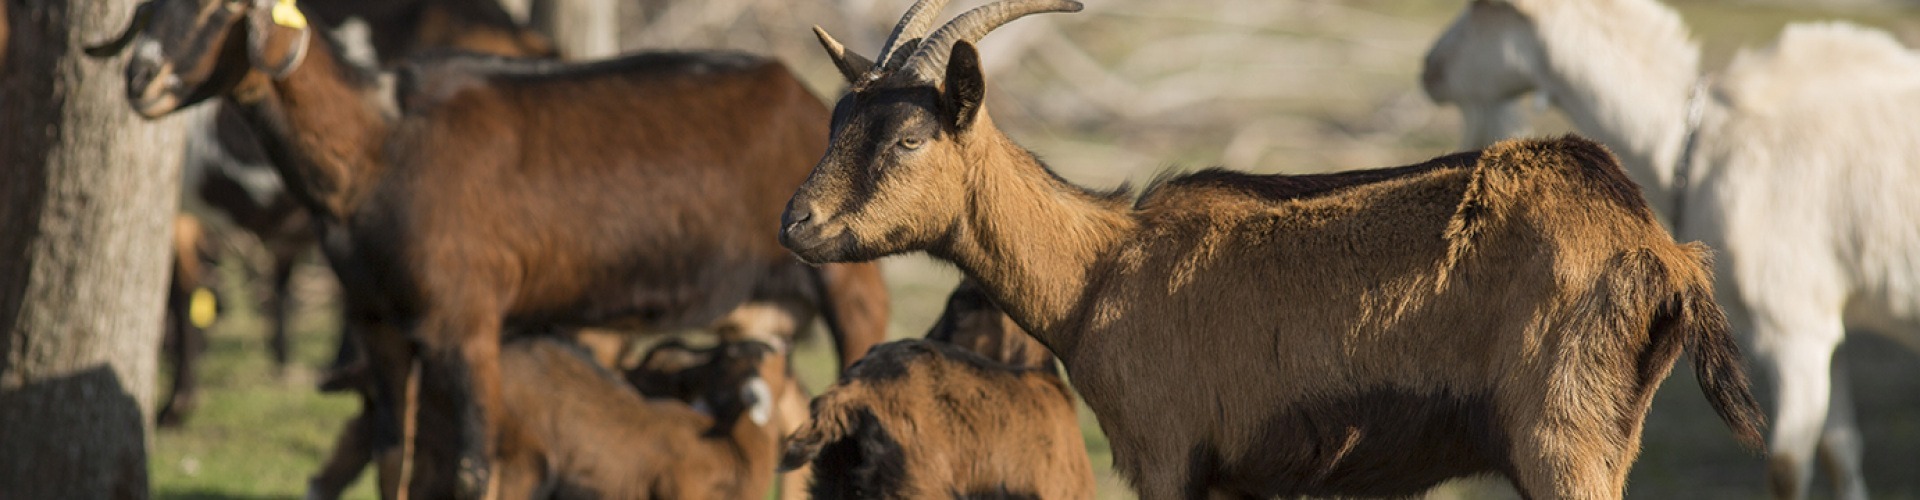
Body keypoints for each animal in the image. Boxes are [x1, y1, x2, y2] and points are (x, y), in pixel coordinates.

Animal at [93, 0, 887, 496]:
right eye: (145, 8)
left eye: (224, 9)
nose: (141, 78)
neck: (379, 147)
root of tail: (799, 93)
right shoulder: (381, 325)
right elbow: (394, 460)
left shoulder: (467, 322)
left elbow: (472, 472)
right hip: (760, 313)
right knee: (785, 413)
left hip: (848, 284)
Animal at [1420, 1, 1920, 496]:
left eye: (1484, 9)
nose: (1429, 70)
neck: (1699, 141)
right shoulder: (1824, 322)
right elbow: (1840, 451)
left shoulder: (1793, 326)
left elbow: (1786, 469)